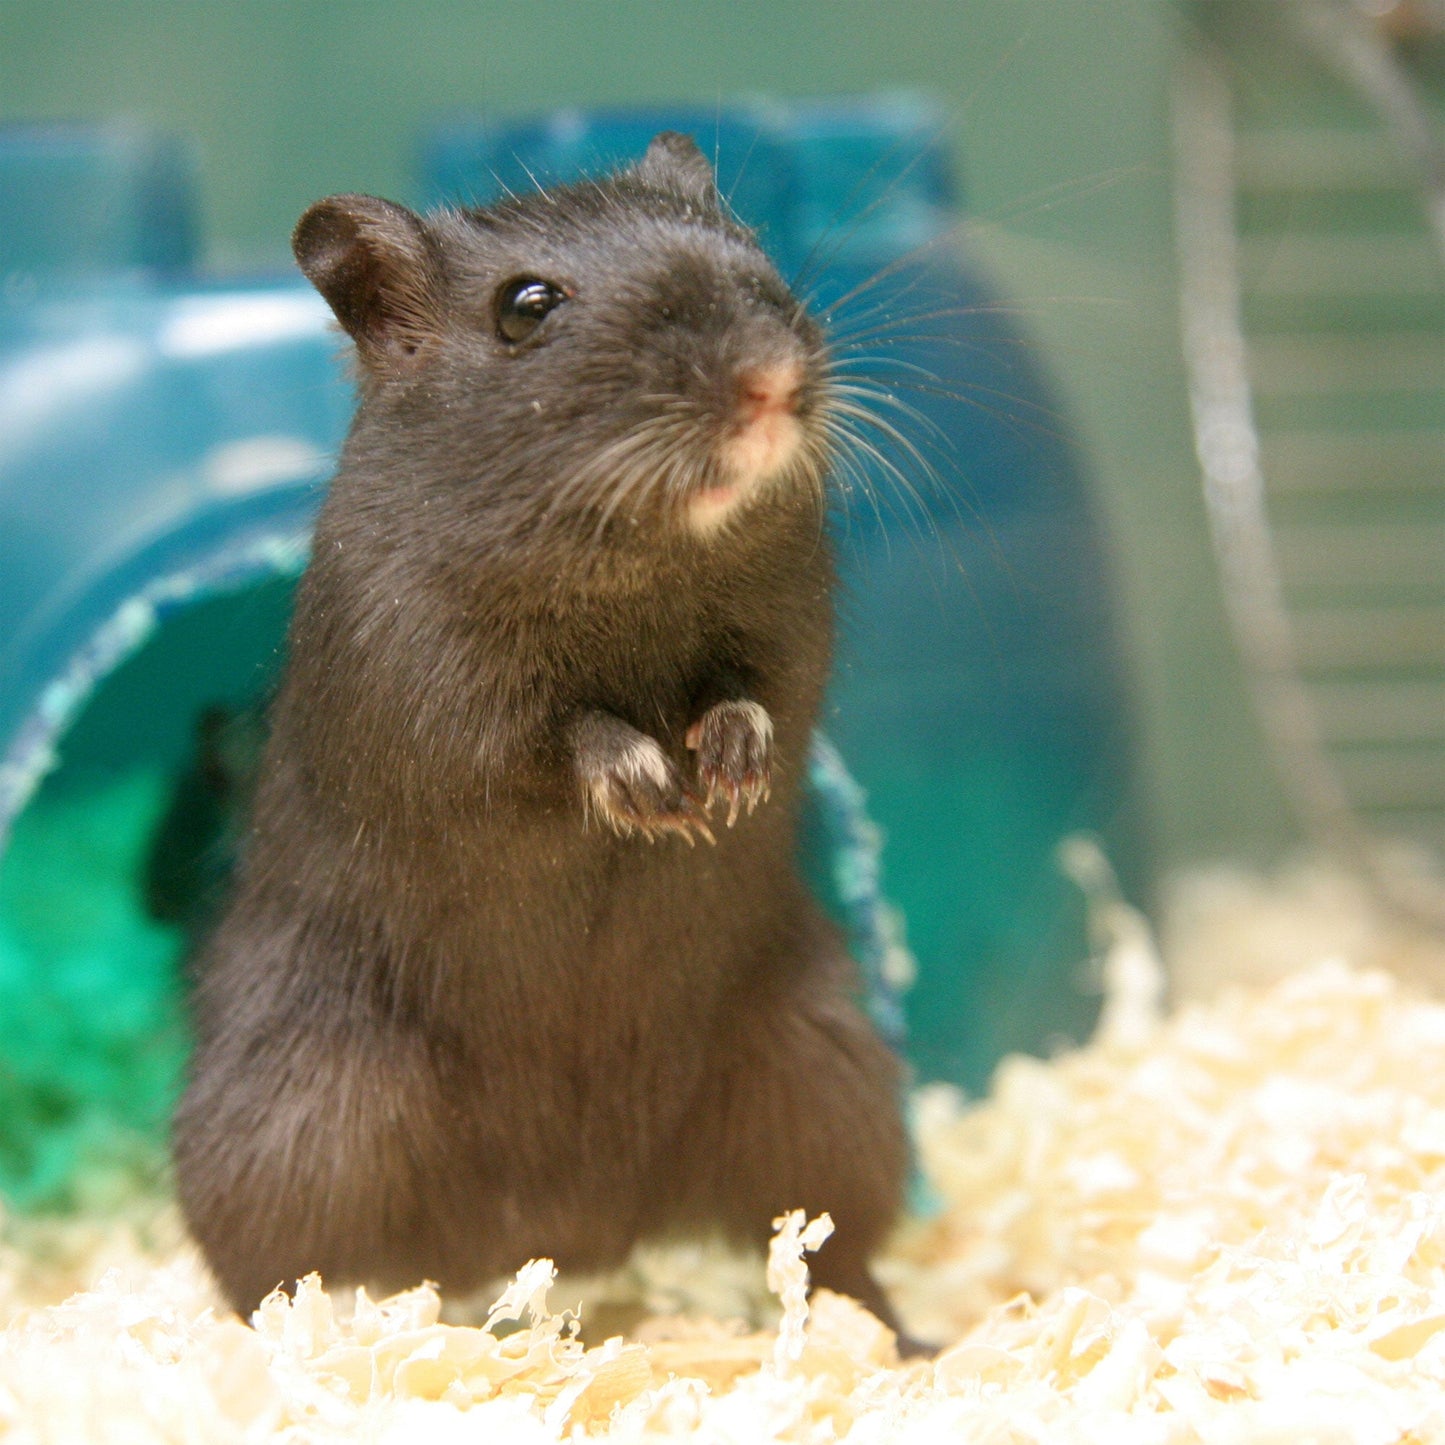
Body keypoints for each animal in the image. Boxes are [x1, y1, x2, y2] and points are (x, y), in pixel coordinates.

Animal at [171, 133, 912, 1344]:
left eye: (746, 242)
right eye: (526, 307)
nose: (771, 381)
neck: (635, 556)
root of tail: (570, 1224)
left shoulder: (788, 627)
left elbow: (755, 695)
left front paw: (725, 785)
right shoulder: (436, 679)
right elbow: (555, 738)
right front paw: (660, 797)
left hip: (818, 1069)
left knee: (827, 1239)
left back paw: (894, 1333)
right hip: (299, 1112)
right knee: (280, 1274)